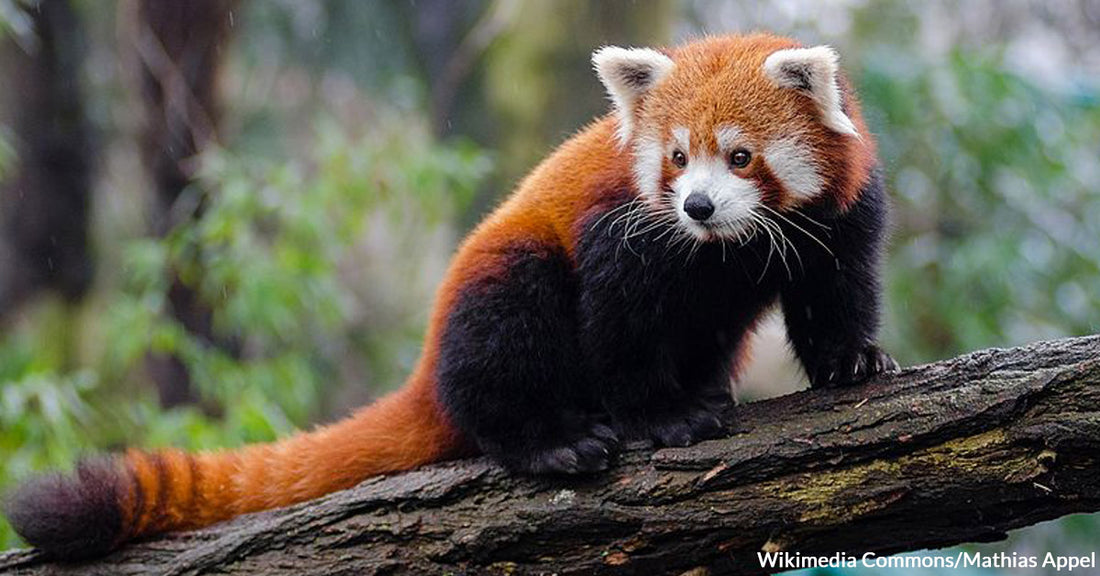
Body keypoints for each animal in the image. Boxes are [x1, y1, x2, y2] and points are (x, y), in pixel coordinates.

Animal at [4, 32, 893, 558]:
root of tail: (426, 367)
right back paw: (548, 439)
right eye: (676, 159)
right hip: (497, 286)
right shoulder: (625, 230)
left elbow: (835, 291)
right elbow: (620, 328)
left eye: (739, 157)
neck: (725, 250)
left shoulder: (839, 213)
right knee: (506, 335)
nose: (698, 207)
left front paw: (852, 360)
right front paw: (661, 415)